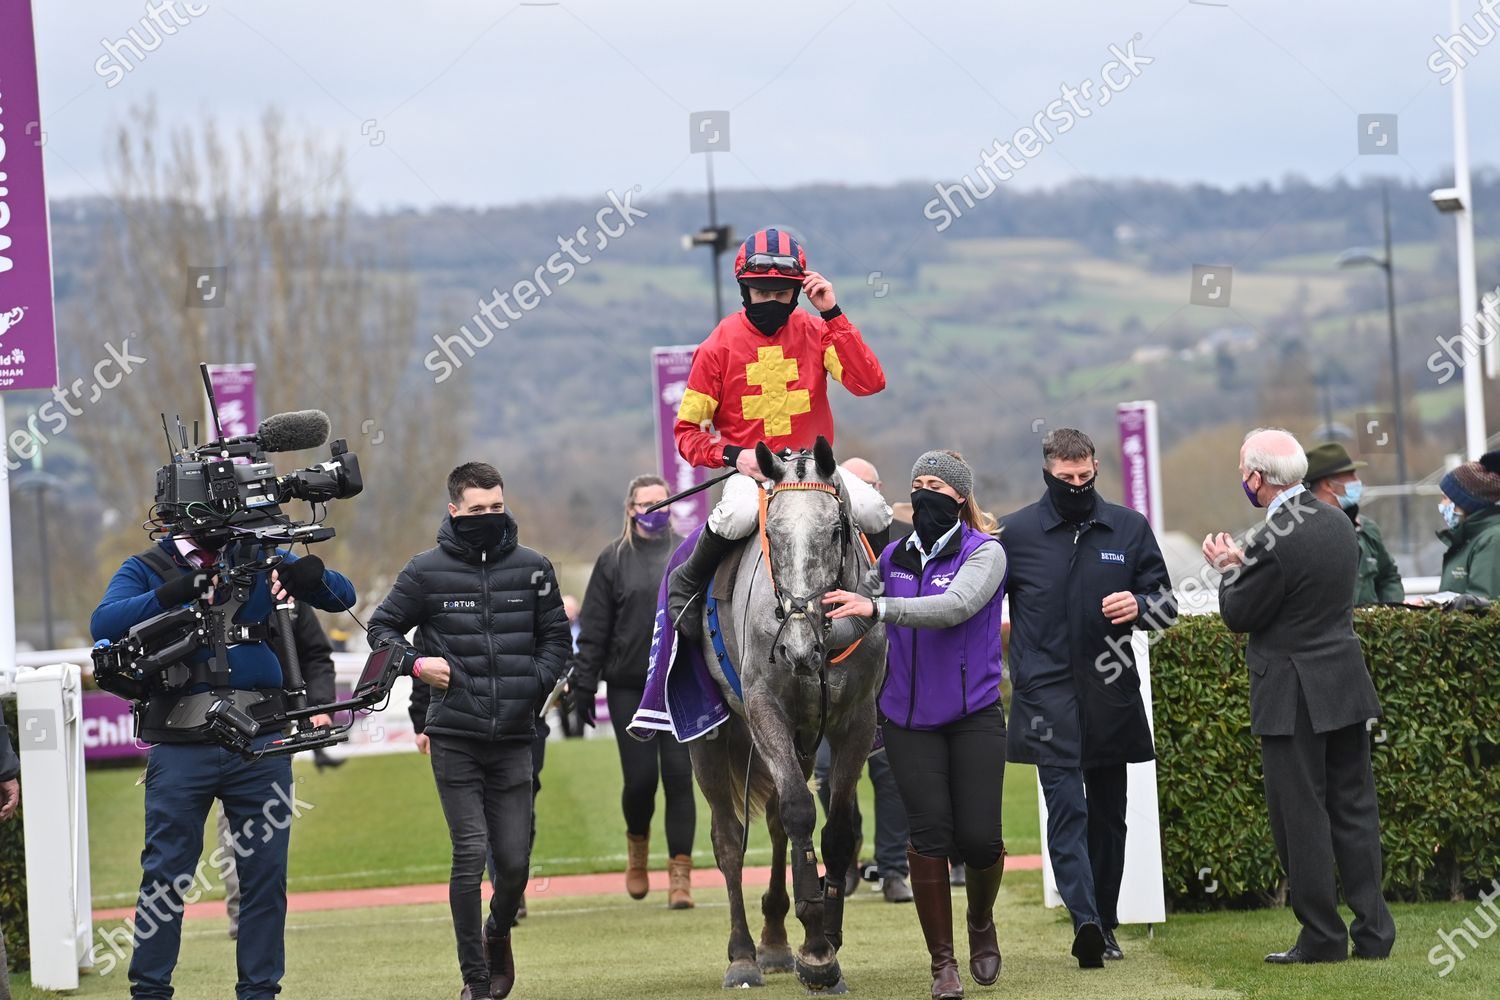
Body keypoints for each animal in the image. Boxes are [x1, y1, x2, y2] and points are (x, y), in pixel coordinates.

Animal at [690, 434, 888, 995]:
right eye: (772, 537)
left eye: (836, 530)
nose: (798, 648)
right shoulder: (765, 709)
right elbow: (800, 810)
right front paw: (818, 951)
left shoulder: (856, 721)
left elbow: (835, 828)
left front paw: (824, 935)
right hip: (710, 737)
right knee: (729, 839)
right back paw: (742, 956)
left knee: (777, 823)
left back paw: (776, 941)